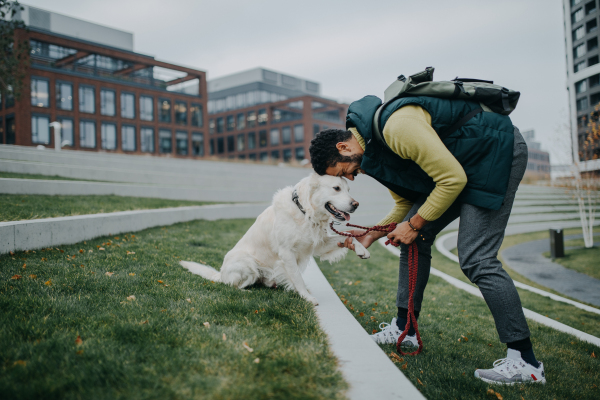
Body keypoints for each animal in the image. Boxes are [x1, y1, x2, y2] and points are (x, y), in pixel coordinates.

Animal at [178, 173, 368, 304]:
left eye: (348, 190)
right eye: (336, 188)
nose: (356, 204)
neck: (304, 212)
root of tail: (221, 274)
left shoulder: (318, 244)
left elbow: (351, 236)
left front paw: (362, 249)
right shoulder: (286, 252)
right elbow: (297, 277)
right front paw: (307, 297)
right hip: (248, 264)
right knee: (232, 286)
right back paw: (246, 292)